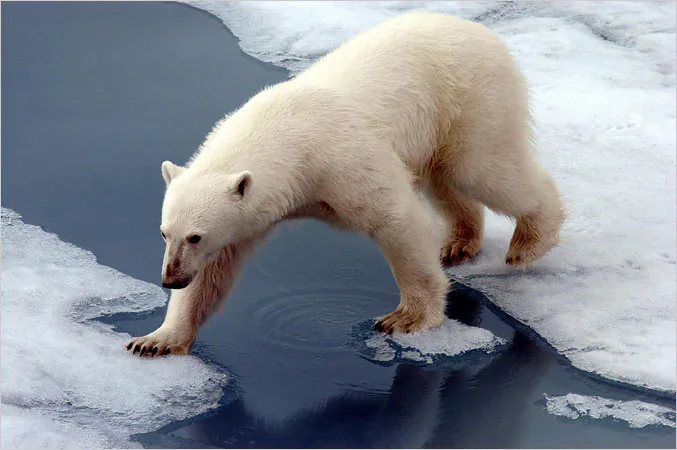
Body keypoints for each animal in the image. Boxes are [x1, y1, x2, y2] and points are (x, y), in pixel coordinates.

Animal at [127, 11, 564, 357]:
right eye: (165, 232)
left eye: (195, 236)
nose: (170, 278)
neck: (286, 136)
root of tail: (482, 32)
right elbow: (214, 272)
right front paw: (155, 340)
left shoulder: (340, 160)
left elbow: (397, 220)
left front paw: (405, 319)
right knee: (448, 182)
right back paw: (459, 242)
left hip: (470, 99)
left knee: (484, 170)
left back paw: (528, 243)